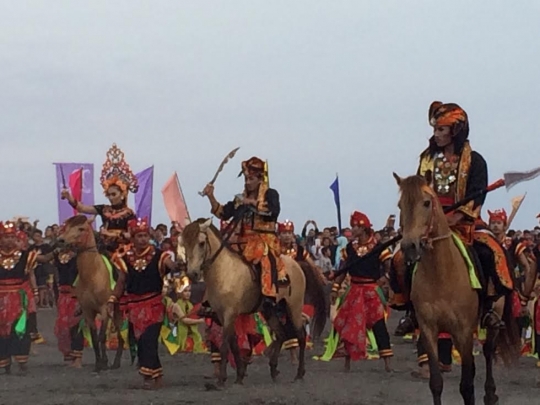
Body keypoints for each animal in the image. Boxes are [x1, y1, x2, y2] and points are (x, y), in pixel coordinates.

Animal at [58, 216, 124, 370]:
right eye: (66, 227)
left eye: (81, 228)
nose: (61, 240)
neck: (92, 275)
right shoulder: (88, 311)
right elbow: (94, 338)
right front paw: (99, 363)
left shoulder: (104, 309)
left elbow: (102, 337)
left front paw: (104, 362)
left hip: (117, 308)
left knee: (120, 334)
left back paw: (117, 362)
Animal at [179, 219, 326, 384]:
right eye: (184, 244)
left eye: (201, 243)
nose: (192, 273)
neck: (224, 272)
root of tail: (296, 264)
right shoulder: (222, 315)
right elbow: (233, 344)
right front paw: (239, 374)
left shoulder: (230, 313)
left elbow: (225, 345)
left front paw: (221, 380)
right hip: (270, 310)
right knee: (281, 333)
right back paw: (273, 369)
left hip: (293, 305)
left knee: (300, 335)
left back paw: (299, 373)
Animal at [394, 174, 520, 404]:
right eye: (400, 205)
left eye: (426, 203)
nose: (409, 247)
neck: (441, 275)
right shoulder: (428, 329)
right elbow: (436, 383)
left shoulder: (463, 330)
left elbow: (467, 386)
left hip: (494, 315)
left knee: (488, 350)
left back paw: (490, 393)